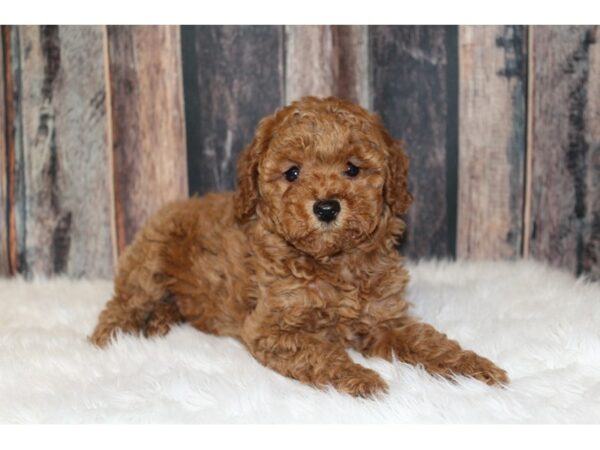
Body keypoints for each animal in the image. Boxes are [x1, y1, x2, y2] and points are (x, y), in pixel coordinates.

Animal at [91, 96, 508, 398]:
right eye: (292, 173)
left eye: (353, 168)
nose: (326, 207)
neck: (332, 263)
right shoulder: (270, 329)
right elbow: (321, 352)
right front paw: (363, 379)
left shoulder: (386, 319)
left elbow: (428, 342)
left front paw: (474, 368)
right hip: (149, 264)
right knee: (124, 302)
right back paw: (109, 338)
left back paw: (159, 322)